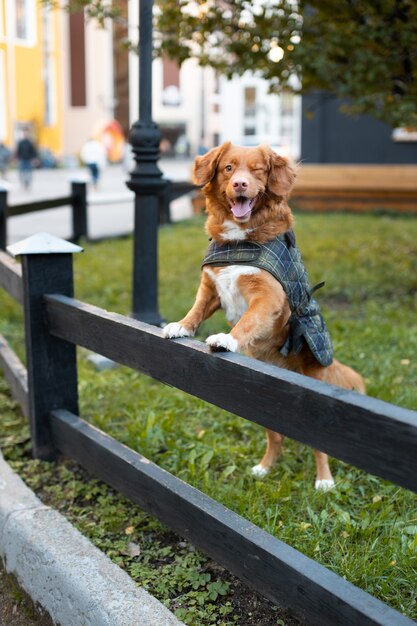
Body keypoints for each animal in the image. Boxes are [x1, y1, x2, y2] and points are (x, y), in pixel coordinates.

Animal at [162, 141, 364, 488]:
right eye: (228, 168)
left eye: (257, 171)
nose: (240, 184)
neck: (239, 240)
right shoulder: (211, 287)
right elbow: (196, 309)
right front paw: (182, 326)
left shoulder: (268, 297)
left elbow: (247, 322)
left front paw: (227, 339)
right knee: (276, 437)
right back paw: (266, 467)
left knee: (319, 447)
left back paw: (324, 481)